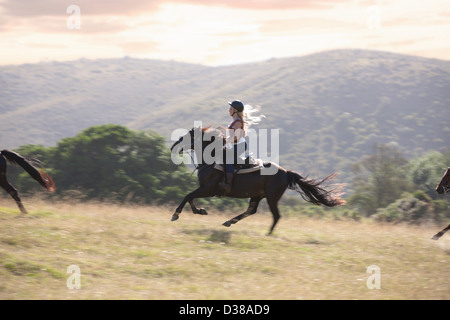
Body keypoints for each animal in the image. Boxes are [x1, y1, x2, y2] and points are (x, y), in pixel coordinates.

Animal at [171, 127, 346, 235]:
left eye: (186, 136)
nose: (173, 146)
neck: (211, 161)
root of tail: (285, 172)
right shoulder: (205, 190)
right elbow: (190, 198)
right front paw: (200, 211)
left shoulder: (208, 189)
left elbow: (188, 196)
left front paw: (176, 214)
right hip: (257, 195)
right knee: (251, 211)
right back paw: (229, 222)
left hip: (271, 197)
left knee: (276, 216)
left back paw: (267, 233)